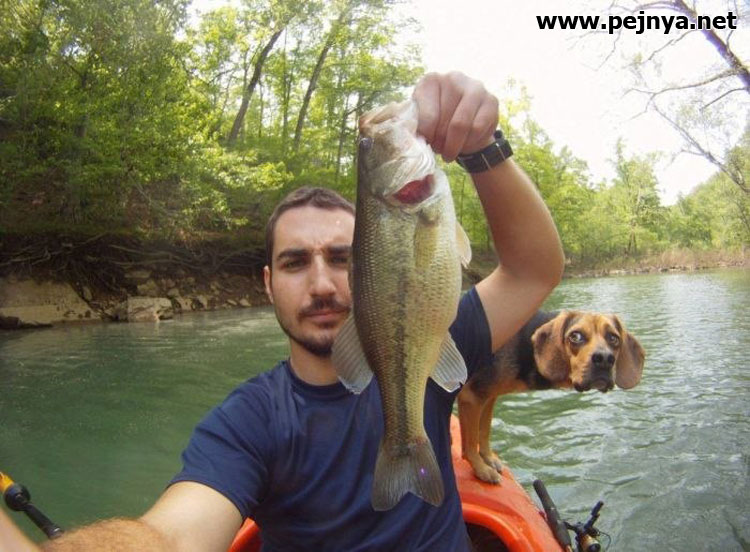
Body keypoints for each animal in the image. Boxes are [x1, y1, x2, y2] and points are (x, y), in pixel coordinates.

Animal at [457, 310, 645, 483]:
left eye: (613, 338)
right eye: (575, 336)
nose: (605, 359)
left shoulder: (488, 397)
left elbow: (483, 431)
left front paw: (488, 458)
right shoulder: (471, 397)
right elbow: (470, 444)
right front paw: (481, 470)